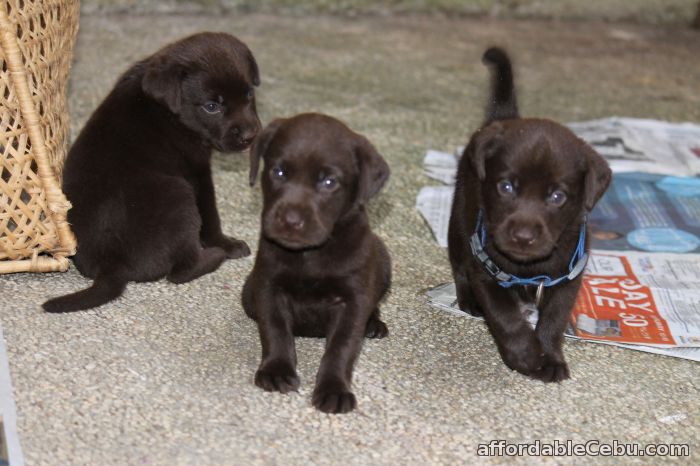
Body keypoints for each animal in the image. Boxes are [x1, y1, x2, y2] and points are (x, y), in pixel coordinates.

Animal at [43, 31, 262, 312]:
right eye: (212, 106)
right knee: (180, 272)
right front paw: (227, 244)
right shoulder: (198, 173)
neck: (169, 112)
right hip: (179, 195)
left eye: (248, 94)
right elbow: (211, 217)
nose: (250, 136)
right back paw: (215, 256)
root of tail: (111, 265)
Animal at [243, 114, 392, 414]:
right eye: (278, 172)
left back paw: (374, 325)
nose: (290, 220)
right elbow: (275, 330)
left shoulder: (352, 300)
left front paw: (334, 389)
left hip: (383, 261)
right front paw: (276, 370)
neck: (309, 255)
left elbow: (341, 347)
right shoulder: (267, 286)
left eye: (329, 182)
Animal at [452, 48, 608, 382]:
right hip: (458, 219)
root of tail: (504, 119)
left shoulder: (568, 280)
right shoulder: (487, 274)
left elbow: (553, 322)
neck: (530, 268)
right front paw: (525, 356)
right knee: (459, 264)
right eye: (506, 186)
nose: (523, 236)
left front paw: (549, 357)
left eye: (557, 196)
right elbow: (507, 319)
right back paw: (468, 300)